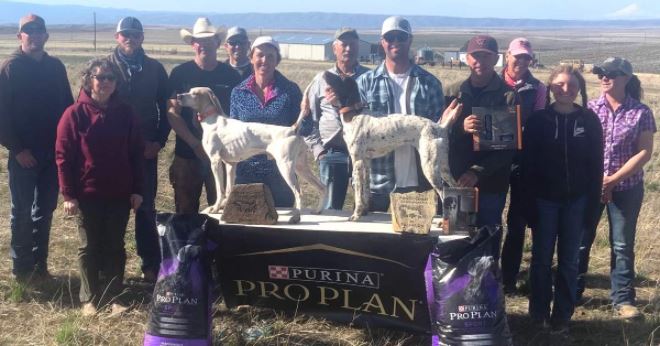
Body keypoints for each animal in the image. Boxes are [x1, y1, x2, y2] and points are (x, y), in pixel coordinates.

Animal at [178, 85, 328, 223]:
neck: (213, 120)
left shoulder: (215, 161)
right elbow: (228, 189)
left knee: (299, 193)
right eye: (189, 91)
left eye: (195, 93)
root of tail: (292, 129)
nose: (179, 96)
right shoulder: (230, 164)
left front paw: (215, 208)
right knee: (322, 187)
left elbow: (220, 189)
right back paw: (318, 210)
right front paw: (224, 206)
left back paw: (296, 217)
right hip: (300, 167)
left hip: (285, 167)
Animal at [324, 71, 458, 222]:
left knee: (443, 194)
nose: (325, 72)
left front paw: (356, 215)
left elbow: (359, 193)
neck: (353, 114)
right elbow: (366, 190)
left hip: (429, 167)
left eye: (340, 76)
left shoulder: (357, 162)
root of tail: (441, 127)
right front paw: (364, 211)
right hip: (443, 167)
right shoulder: (366, 162)